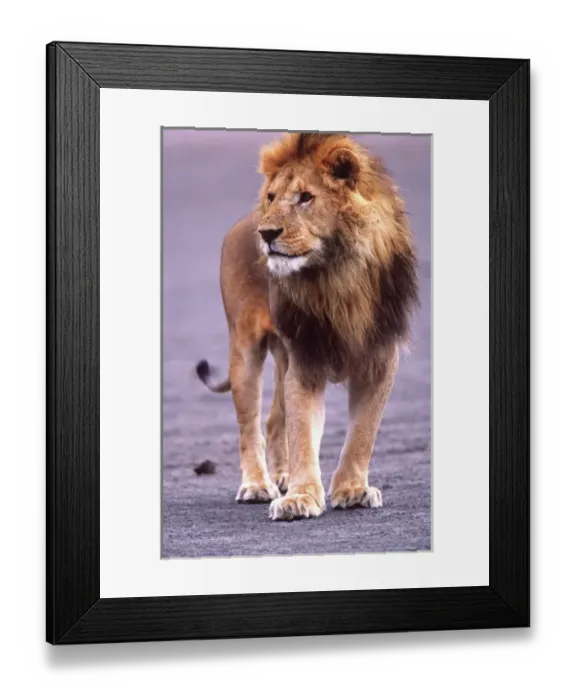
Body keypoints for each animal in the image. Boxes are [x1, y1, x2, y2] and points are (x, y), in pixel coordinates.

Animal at [196, 132, 418, 521]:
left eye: (305, 197)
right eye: (272, 197)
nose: (267, 233)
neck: (336, 276)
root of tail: (243, 221)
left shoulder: (380, 359)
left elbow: (363, 432)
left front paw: (352, 490)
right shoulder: (305, 359)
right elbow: (303, 433)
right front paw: (301, 497)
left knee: (274, 420)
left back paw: (282, 476)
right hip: (245, 350)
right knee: (250, 425)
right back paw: (258, 485)